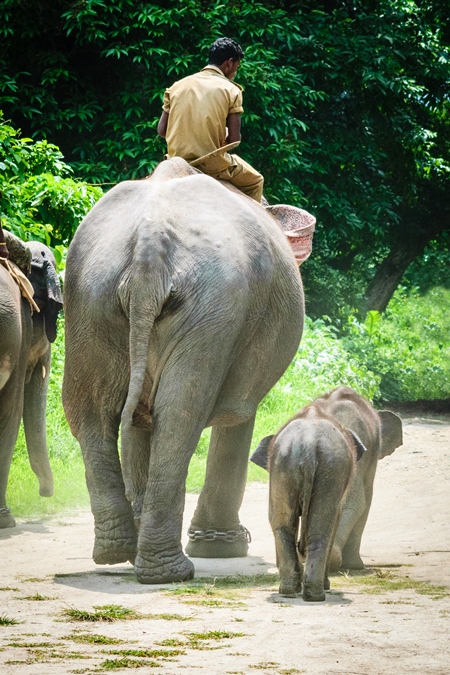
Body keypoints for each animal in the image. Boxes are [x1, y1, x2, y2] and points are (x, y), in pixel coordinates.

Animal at [61, 158, 304, 588]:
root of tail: (148, 245)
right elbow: (237, 416)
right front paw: (226, 550)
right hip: (212, 306)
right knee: (179, 417)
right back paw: (168, 570)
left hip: (90, 299)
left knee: (93, 412)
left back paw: (119, 553)